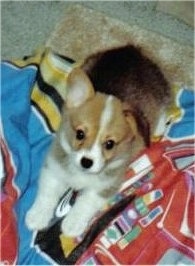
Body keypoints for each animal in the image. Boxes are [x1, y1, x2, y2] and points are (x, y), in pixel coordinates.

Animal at [25, 67, 145, 236]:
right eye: (80, 134)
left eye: (109, 144)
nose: (86, 162)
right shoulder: (54, 168)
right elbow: (48, 193)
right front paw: (38, 216)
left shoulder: (104, 186)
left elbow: (86, 202)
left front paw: (72, 222)